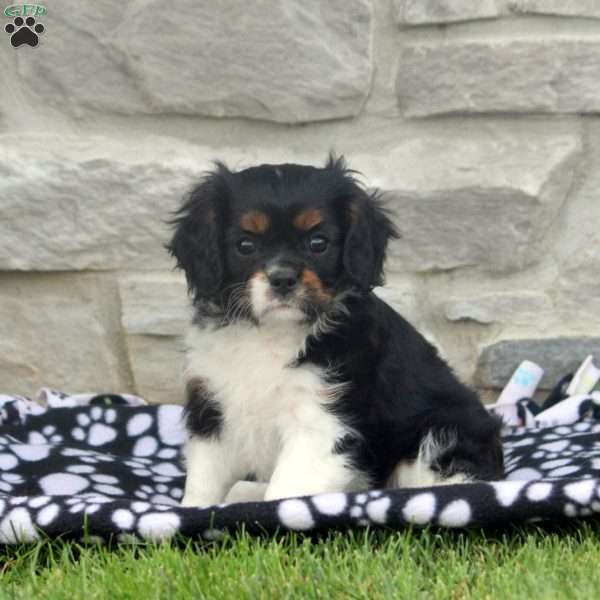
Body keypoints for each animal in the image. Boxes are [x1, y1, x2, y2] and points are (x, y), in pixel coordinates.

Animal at [166, 156, 504, 506]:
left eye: (318, 243)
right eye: (245, 245)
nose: (283, 279)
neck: (272, 333)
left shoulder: (320, 420)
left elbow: (284, 492)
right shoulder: (212, 410)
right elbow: (204, 482)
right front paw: (192, 510)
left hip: (440, 433)